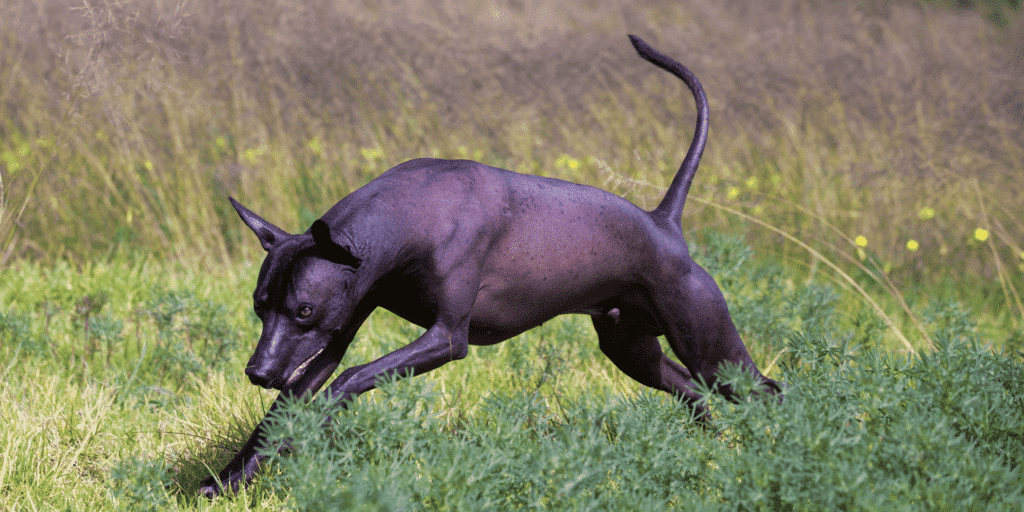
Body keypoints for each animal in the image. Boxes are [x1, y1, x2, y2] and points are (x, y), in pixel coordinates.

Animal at [197, 34, 774, 497]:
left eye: (303, 308)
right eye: (259, 306)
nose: (258, 372)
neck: (407, 218)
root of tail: (664, 223)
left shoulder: (446, 338)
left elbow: (352, 378)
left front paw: (317, 423)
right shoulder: (332, 338)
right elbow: (280, 412)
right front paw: (225, 483)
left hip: (713, 351)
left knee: (768, 393)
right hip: (632, 349)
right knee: (693, 395)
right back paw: (715, 454)